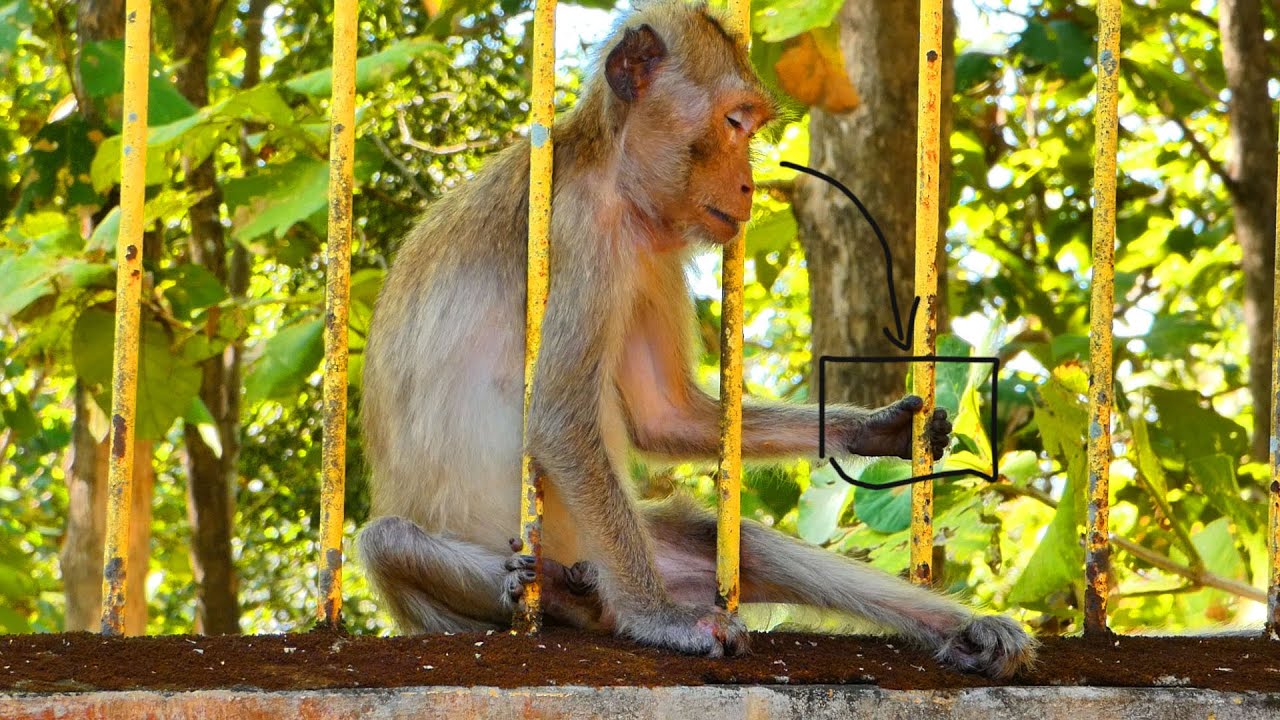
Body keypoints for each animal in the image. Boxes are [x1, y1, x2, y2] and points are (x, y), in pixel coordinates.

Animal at [357, 0, 1036, 679]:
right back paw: (561, 598)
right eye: (734, 122)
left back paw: (963, 629)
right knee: (383, 540)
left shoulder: (653, 259)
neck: (611, 172)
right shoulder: (580, 231)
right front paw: (658, 620)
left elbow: (664, 417)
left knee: (732, 542)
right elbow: (557, 419)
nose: (749, 184)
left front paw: (873, 430)